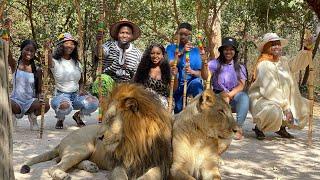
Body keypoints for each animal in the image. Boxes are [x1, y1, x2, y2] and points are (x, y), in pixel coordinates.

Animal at [20, 83, 172, 180]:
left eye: (111, 118)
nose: (99, 137)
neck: (136, 140)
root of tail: (62, 140)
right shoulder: (119, 165)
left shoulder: (159, 164)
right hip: (82, 148)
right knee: (54, 166)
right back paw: (63, 174)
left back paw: (90, 166)